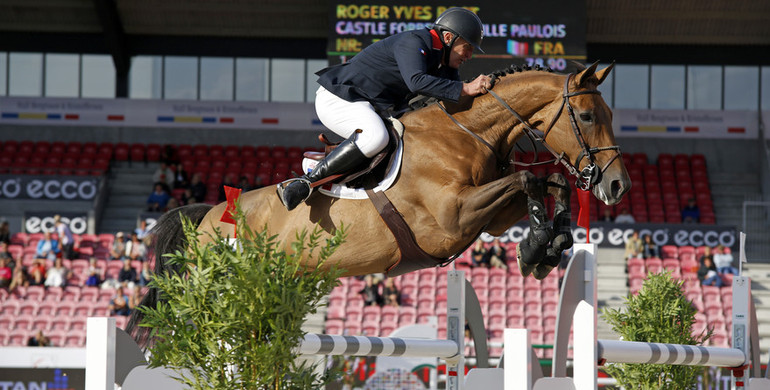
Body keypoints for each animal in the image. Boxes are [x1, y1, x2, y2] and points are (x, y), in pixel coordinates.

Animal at [127, 61, 632, 344]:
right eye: (587, 115)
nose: (617, 187)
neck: (468, 134)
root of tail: (207, 215)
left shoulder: (482, 220)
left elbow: (550, 182)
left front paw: (549, 245)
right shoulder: (452, 219)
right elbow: (530, 179)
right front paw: (537, 247)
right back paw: (295, 189)